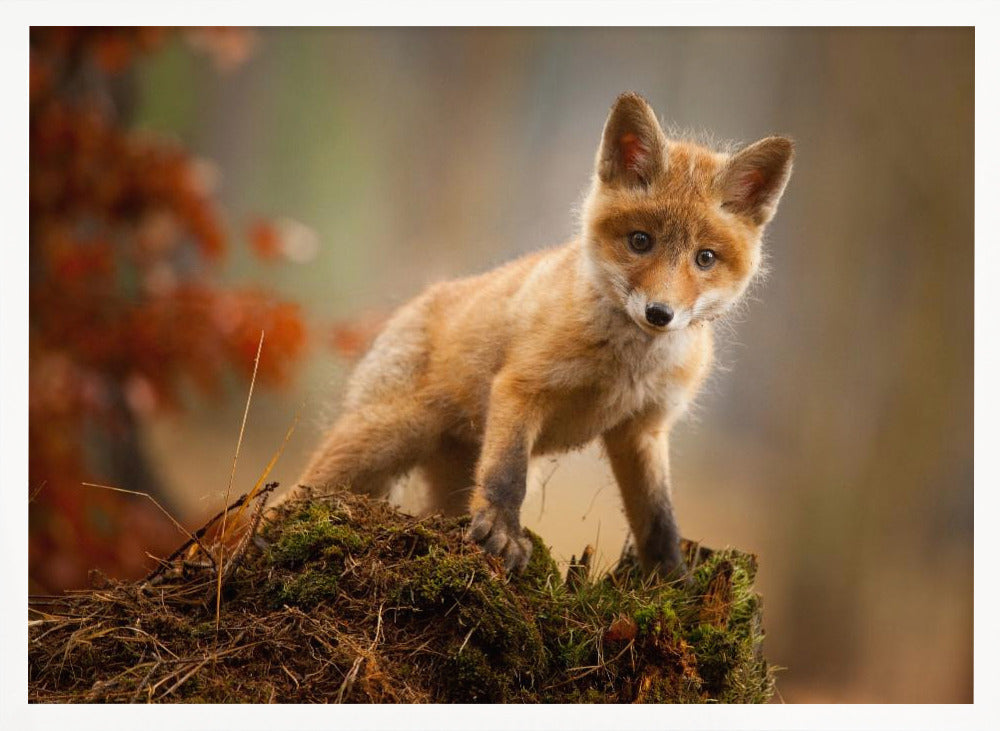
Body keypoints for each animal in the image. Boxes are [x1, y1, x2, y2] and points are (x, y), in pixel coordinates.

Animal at [296, 92, 793, 579]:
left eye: (705, 258)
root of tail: (415, 303)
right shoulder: (521, 388)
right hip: (381, 439)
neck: (626, 368)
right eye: (640, 241)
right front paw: (502, 534)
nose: (659, 313)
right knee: (298, 492)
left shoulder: (643, 429)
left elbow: (659, 519)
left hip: (445, 475)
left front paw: (672, 582)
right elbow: (506, 475)